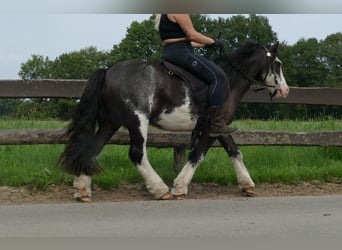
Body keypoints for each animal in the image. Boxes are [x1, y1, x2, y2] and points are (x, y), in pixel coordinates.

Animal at [58, 41, 288, 201]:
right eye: (277, 64)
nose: (285, 91)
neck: (229, 80)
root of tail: (108, 71)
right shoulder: (209, 129)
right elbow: (198, 155)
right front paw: (179, 187)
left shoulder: (219, 127)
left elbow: (234, 151)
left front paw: (247, 185)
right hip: (137, 121)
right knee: (137, 154)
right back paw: (160, 189)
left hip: (111, 122)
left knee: (92, 149)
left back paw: (82, 190)